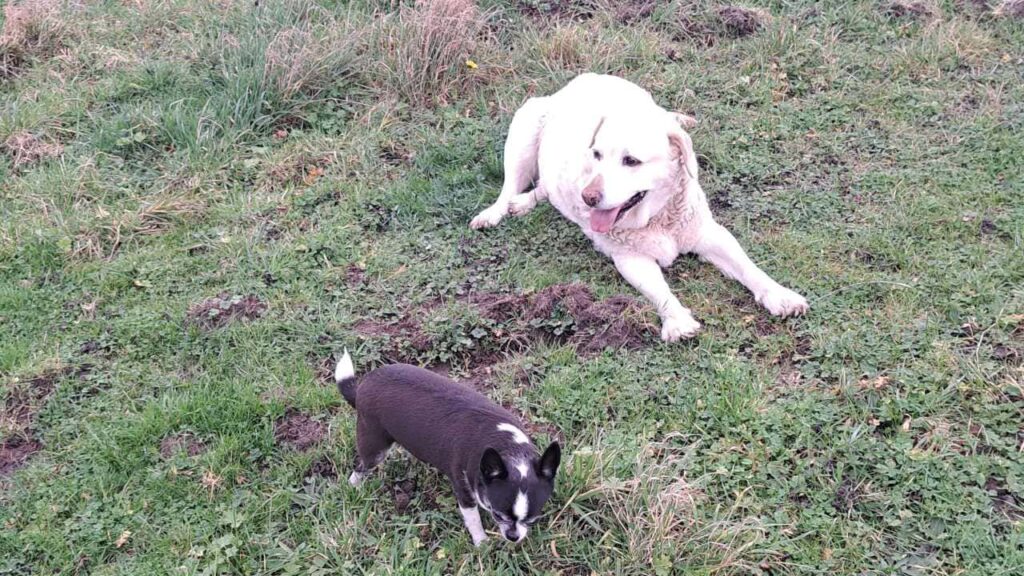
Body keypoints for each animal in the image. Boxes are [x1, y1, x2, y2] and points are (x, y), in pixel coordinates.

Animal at [333, 350, 561, 541]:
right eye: (497, 515)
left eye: (532, 519)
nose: (513, 537)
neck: (506, 444)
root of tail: (362, 386)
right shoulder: (464, 491)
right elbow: (473, 519)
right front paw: (481, 543)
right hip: (375, 446)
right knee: (361, 467)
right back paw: (353, 487)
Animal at [468, 73, 806, 338]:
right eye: (596, 155)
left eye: (631, 161)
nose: (588, 198)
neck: (658, 217)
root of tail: (583, 79)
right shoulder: (629, 257)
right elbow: (660, 290)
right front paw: (677, 321)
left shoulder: (709, 234)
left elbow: (749, 268)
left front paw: (779, 295)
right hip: (525, 129)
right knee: (511, 185)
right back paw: (499, 210)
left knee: (545, 188)